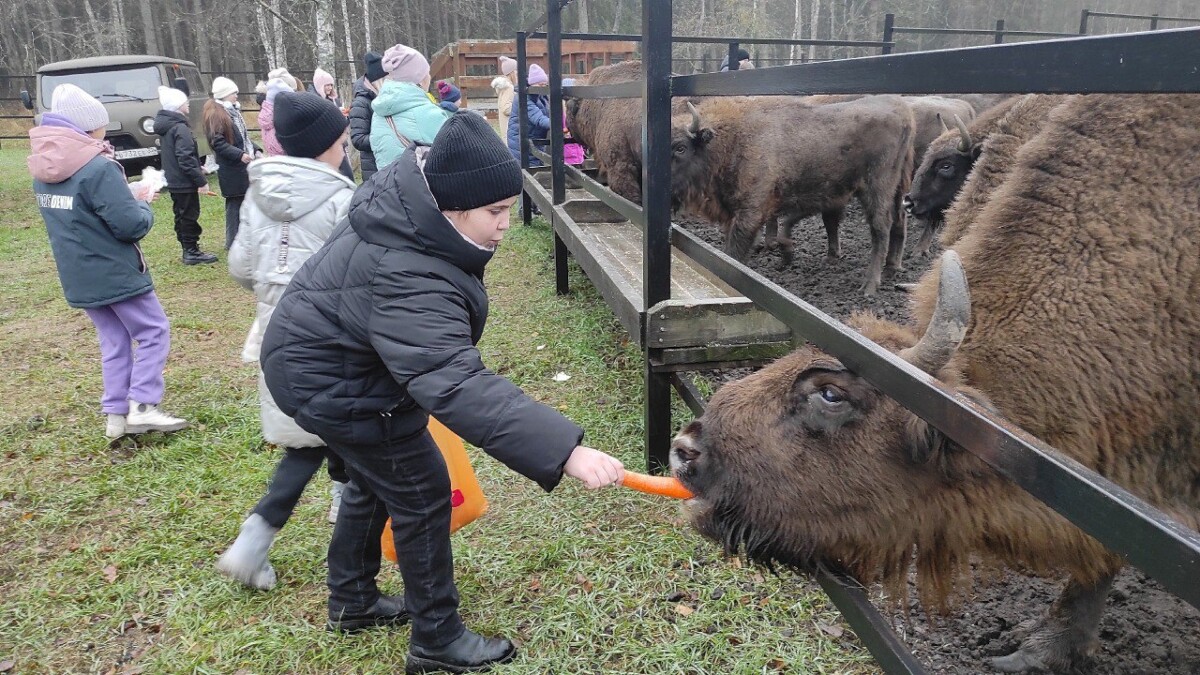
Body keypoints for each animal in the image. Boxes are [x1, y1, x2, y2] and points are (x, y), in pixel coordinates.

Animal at [672, 93, 912, 291]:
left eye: (681, 148)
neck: (732, 138)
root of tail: (902, 109)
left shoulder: (749, 214)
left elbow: (732, 254)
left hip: (877, 188)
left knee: (880, 227)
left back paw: (869, 286)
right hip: (896, 189)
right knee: (898, 219)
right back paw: (890, 268)